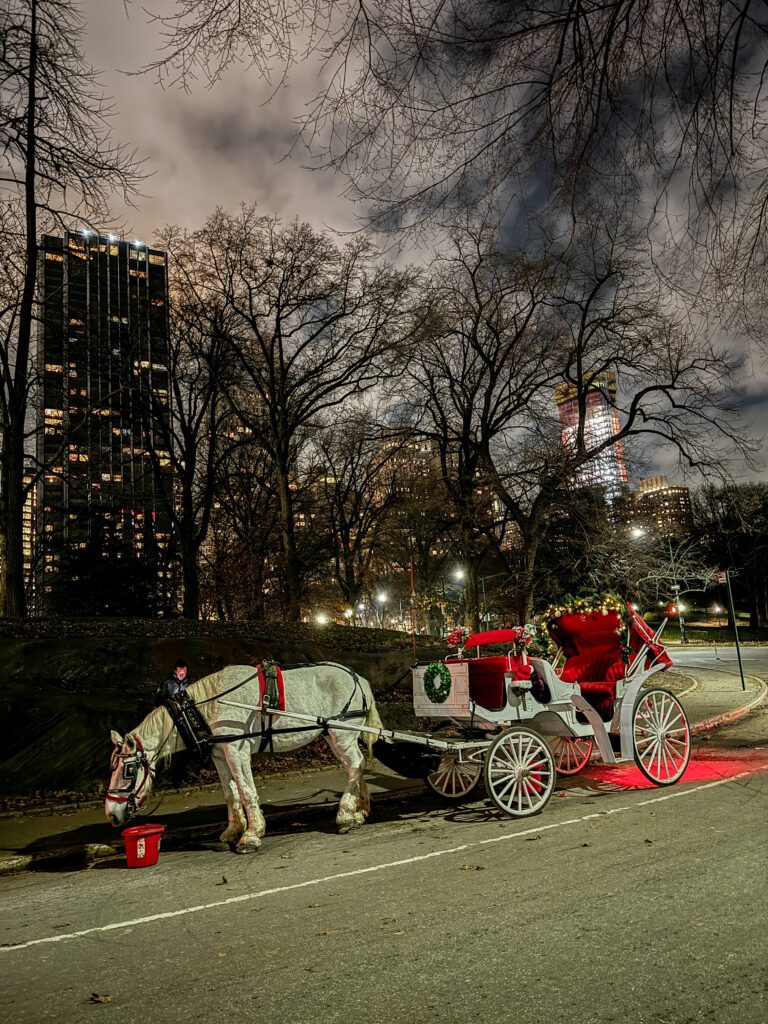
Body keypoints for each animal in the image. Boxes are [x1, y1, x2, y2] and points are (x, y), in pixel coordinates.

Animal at [107, 659, 382, 851]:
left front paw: (251, 834)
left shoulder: (236, 751)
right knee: (354, 766)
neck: (207, 708)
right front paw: (234, 829)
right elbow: (231, 794)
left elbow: (246, 790)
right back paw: (359, 810)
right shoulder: (221, 755)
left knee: (356, 764)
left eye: (127, 770)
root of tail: (359, 678)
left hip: (342, 732)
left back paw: (345, 814)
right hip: (333, 735)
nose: (111, 813)